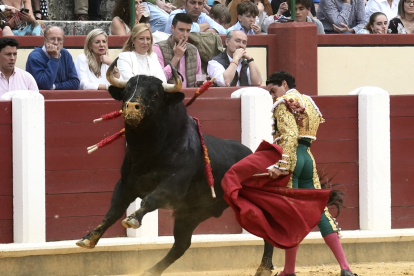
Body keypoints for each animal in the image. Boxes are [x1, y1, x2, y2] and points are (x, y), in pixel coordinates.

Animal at [76, 74, 278, 276]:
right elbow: (114, 211)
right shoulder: (126, 184)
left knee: (268, 231)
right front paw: (88, 238)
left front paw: (133, 219)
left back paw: (264, 268)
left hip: (249, 207)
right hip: (192, 213)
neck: (148, 151)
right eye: (126, 91)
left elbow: (149, 200)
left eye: (155, 95)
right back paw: (150, 271)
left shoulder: (173, 186)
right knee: (181, 244)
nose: (132, 106)